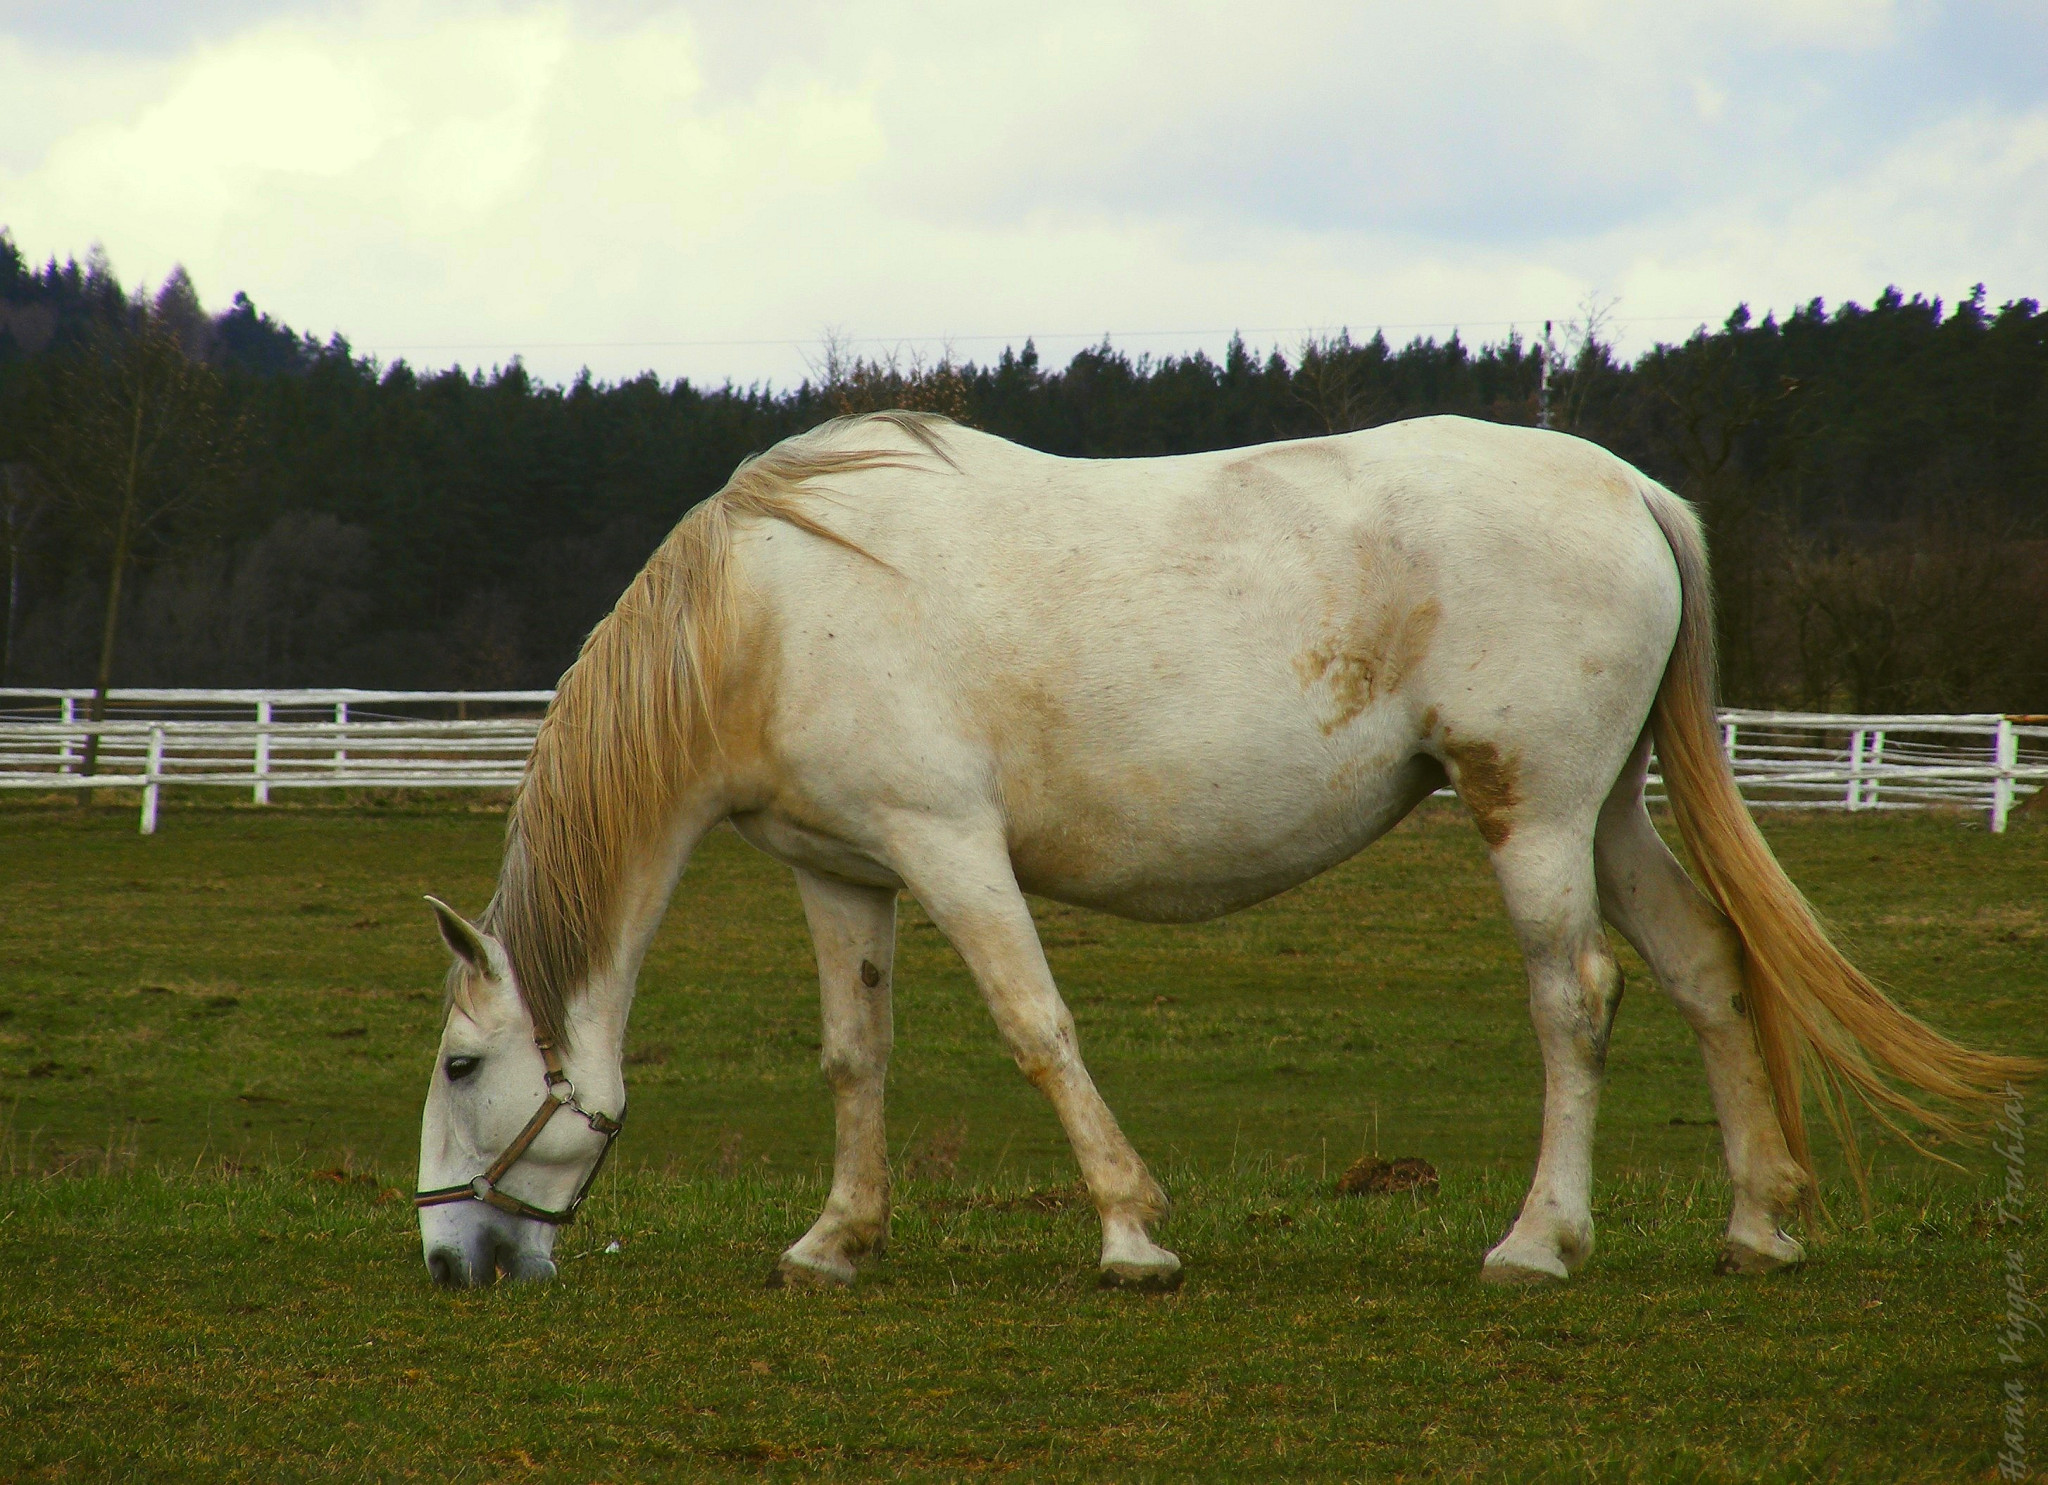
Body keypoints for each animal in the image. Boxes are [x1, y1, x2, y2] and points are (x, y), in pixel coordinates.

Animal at [407, 413, 2023, 1286]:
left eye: (463, 1066)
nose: (449, 1260)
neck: (767, 610)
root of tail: (1627, 485)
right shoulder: (844, 870)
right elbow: (854, 1059)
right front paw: (834, 1242)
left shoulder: (949, 843)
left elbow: (1036, 1026)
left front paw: (1131, 1234)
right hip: (1610, 809)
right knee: (1701, 969)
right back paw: (1758, 1226)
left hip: (1538, 812)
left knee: (1576, 1000)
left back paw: (1536, 1241)